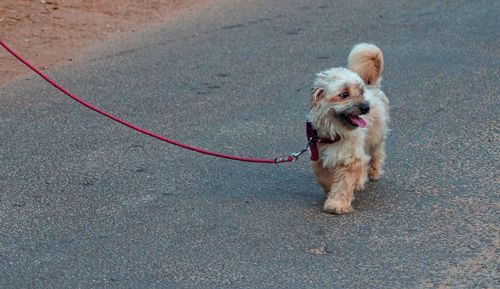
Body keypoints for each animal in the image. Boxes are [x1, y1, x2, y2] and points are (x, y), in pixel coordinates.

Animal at [306, 43, 388, 214]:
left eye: (361, 92)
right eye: (344, 94)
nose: (366, 107)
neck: (335, 133)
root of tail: (372, 85)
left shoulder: (351, 159)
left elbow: (344, 183)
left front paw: (337, 204)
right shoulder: (319, 158)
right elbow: (325, 178)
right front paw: (330, 191)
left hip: (375, 137)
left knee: (376, 154)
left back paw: (371, 173)